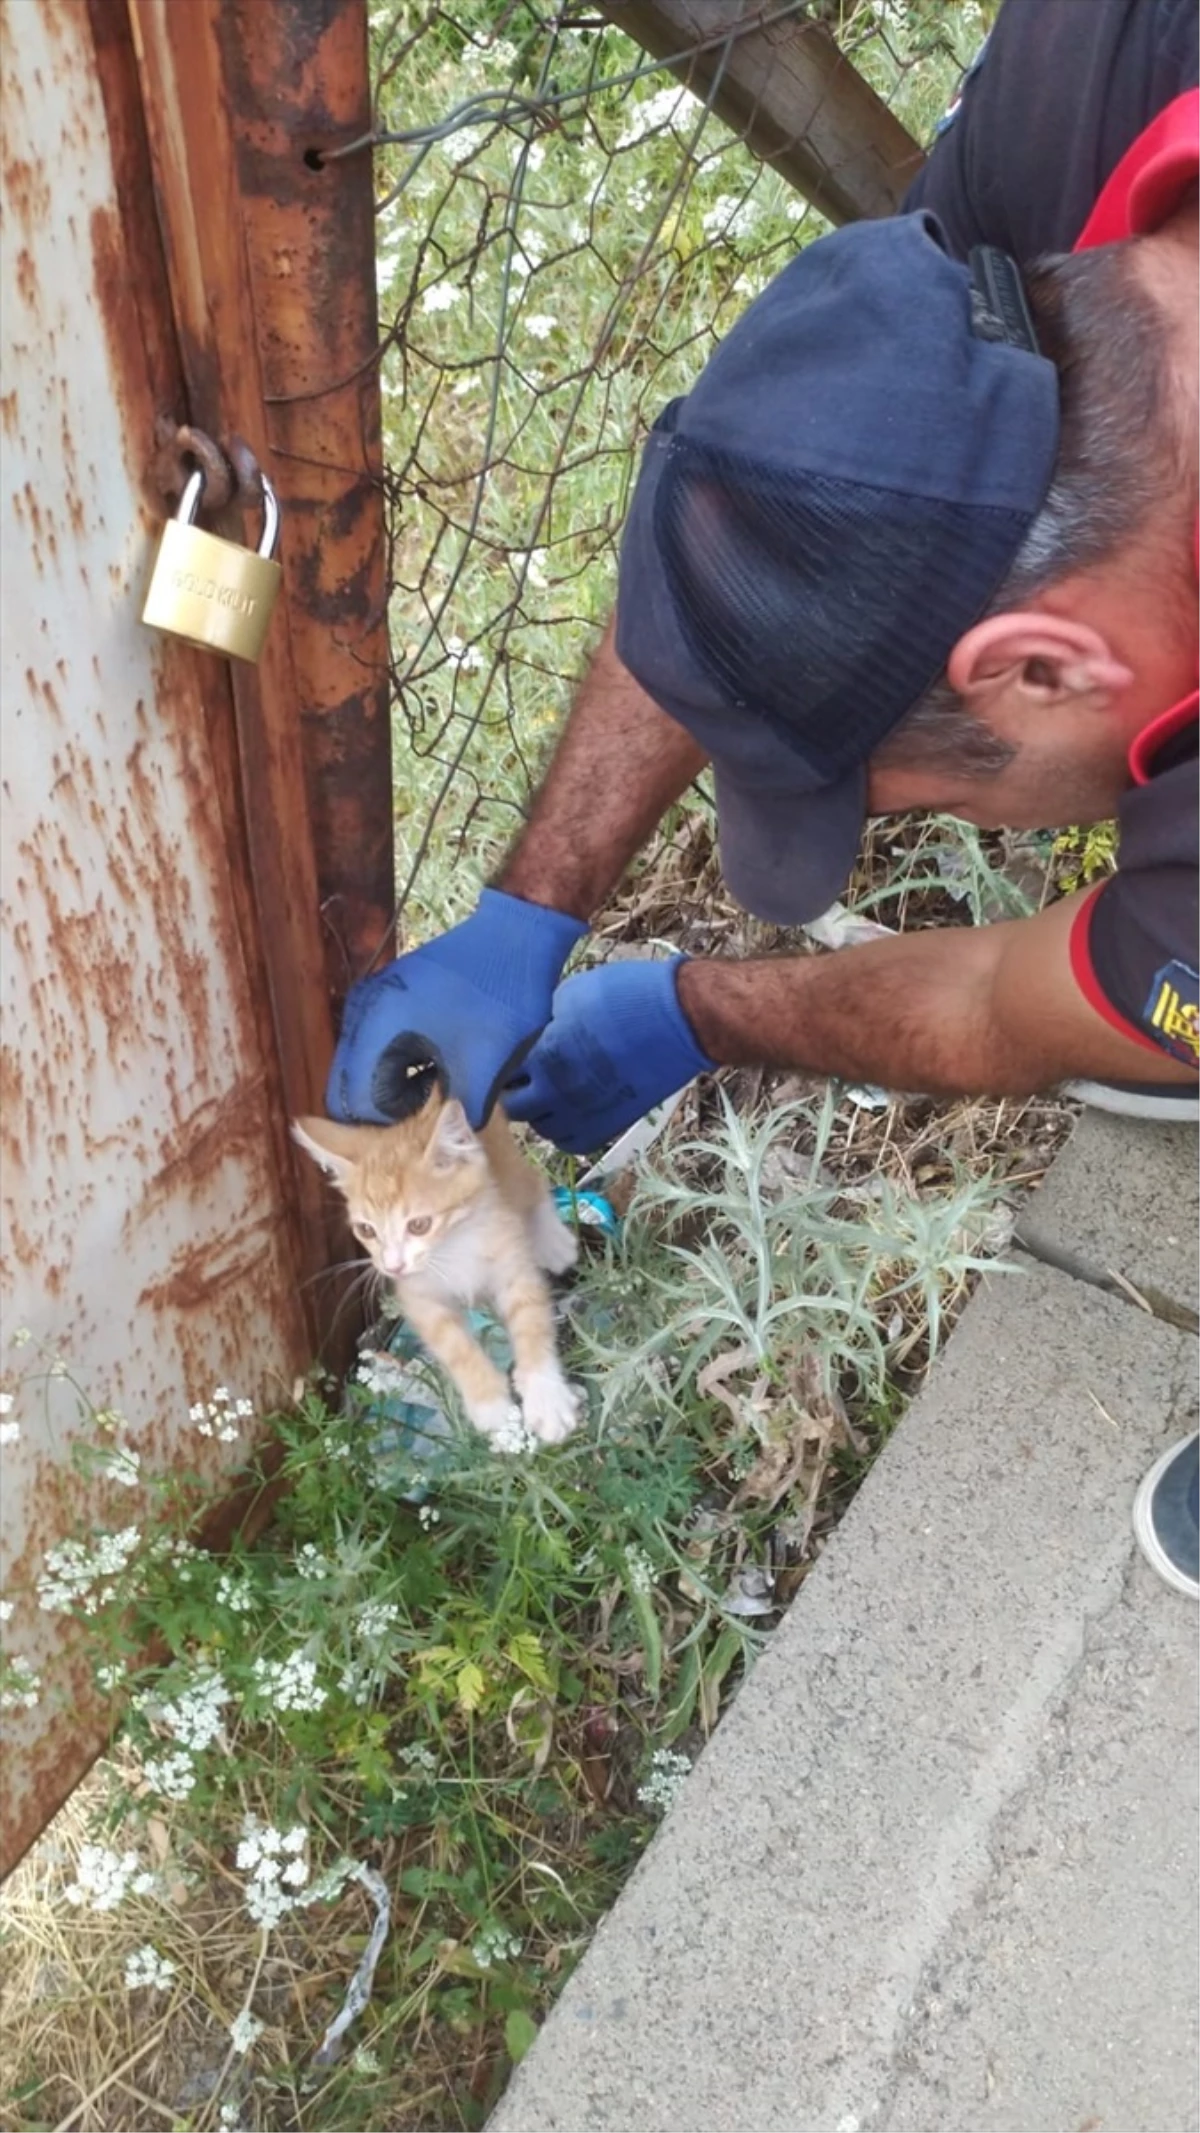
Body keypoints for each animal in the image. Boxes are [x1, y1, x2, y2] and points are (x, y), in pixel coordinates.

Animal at [294, 1092, 579, 1441]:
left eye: (419, 1225)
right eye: (366, 1230)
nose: (392, 1266)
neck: (451, 1247)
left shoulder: (511, 1260)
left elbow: (532, 1322)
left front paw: (546, 1398)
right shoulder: (418, 1296)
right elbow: (453, 1345)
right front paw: (492, 1408)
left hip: (506, 1161)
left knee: (531, 1182)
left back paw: (554, 1242)